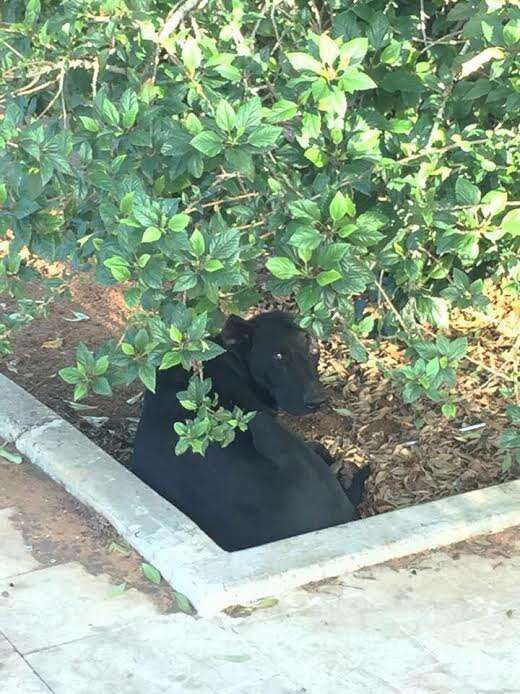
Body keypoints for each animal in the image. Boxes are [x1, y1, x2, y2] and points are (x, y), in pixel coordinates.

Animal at [134, 312, 370, 552]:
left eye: (313, 350)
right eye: (278, 355)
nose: (318, 400)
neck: (231, 361)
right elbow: (320, 447)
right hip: (262, 424)